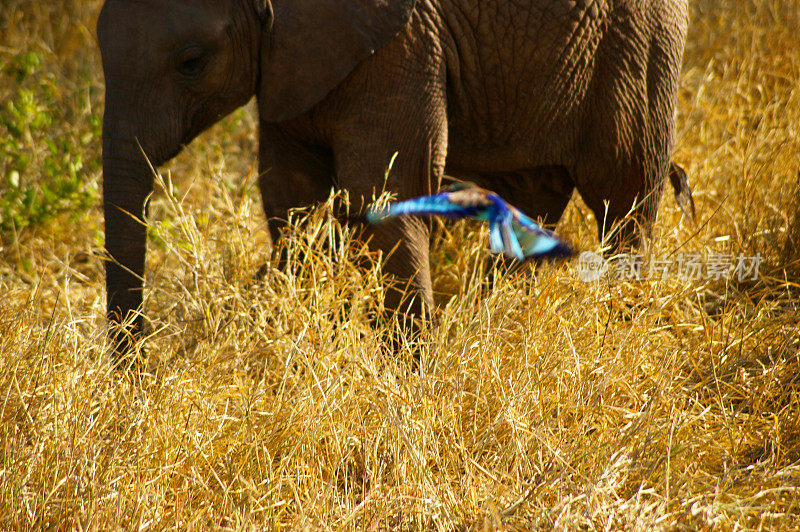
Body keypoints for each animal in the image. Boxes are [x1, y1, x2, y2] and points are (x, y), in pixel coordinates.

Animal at [98, 0, 688, 362]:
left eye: (191, 61)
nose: (137, 370)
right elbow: (290, 197)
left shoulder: (401, 44)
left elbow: (381, 192)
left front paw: (411, 373)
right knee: (530, 200)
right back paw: (493, 322)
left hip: (636, 46)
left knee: (625, 201)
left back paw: (622, 330)